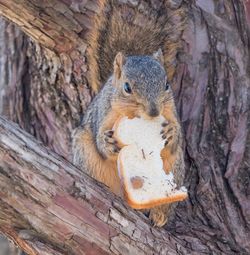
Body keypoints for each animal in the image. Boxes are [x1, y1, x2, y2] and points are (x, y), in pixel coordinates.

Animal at [72, 0, 186, 227]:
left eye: (166, 84)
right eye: (127, 87)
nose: (154, 111)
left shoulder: (172, 113)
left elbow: (175, 139)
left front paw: (170, 132)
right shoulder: (102, 114)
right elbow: (101, 145)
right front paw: (107, 142)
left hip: (175, 169)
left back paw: (158, 215)